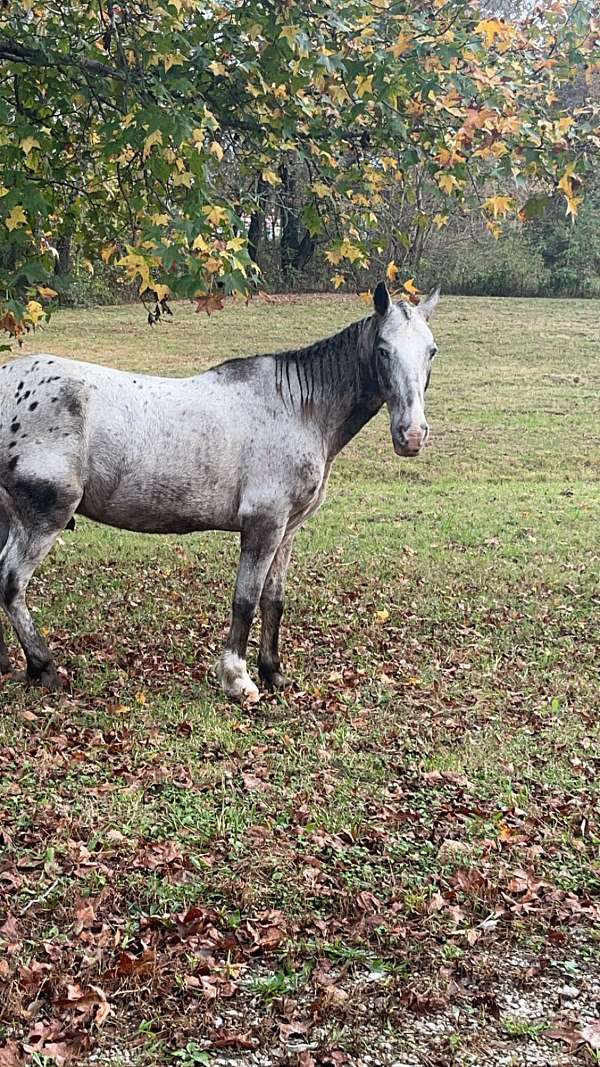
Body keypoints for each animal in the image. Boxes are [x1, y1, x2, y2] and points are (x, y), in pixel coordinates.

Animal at [0, 283, 439, 699]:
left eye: (431, 351)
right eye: (383, 350)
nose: (412, 435)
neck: (298, 408)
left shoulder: (287, 530)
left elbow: (273, 600)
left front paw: (274, 672)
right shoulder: (263, 524)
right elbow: (245, 600)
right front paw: (238, 679)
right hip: (45, 516)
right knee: (11, 583)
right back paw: (43, 667)